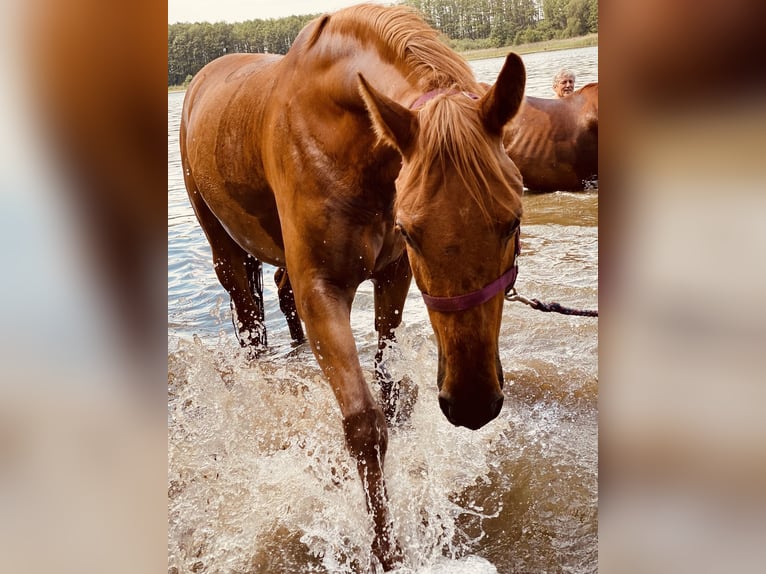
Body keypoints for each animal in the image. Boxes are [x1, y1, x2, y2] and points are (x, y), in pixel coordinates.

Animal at [181, 3, 528, 572]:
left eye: (513, 219)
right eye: (411, 229)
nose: (472, 403)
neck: (346, 143)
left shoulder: (393, 275)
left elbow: (390, 393)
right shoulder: (321, 291)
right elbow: (365, 426)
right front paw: (386, 551)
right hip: (226, 254)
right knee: (252, 332)